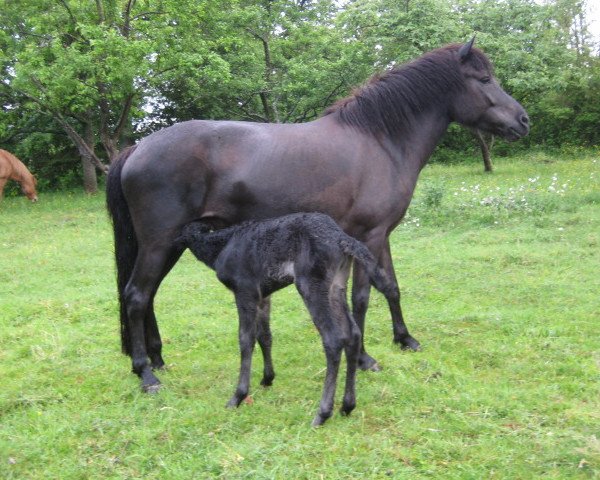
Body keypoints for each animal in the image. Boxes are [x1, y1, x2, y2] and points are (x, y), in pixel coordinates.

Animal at [105, 40, 528, 394]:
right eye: (484, 79)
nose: (523, 120)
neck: (379, 140)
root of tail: (138, 148)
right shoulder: (368, 235)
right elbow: (361, 298)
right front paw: (365, 358)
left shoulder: (382, 236)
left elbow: (391, 286)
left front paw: (405, 339)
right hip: (160, 242)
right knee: (137, 296)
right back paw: (146, 374)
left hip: (170, 244)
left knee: (146, 296)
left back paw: (157, 359)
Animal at [176, 212, 396, 426]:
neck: (223, 245)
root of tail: (341, 238)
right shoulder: (263, 296)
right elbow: (264, 336)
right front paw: (267, 378)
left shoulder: (245, 292)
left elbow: (246, 339)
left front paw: (238, 396)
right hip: (336, 286)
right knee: (353, 334)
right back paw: (347, 406)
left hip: (311, 284)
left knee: (333, 338)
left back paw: (323, 413)